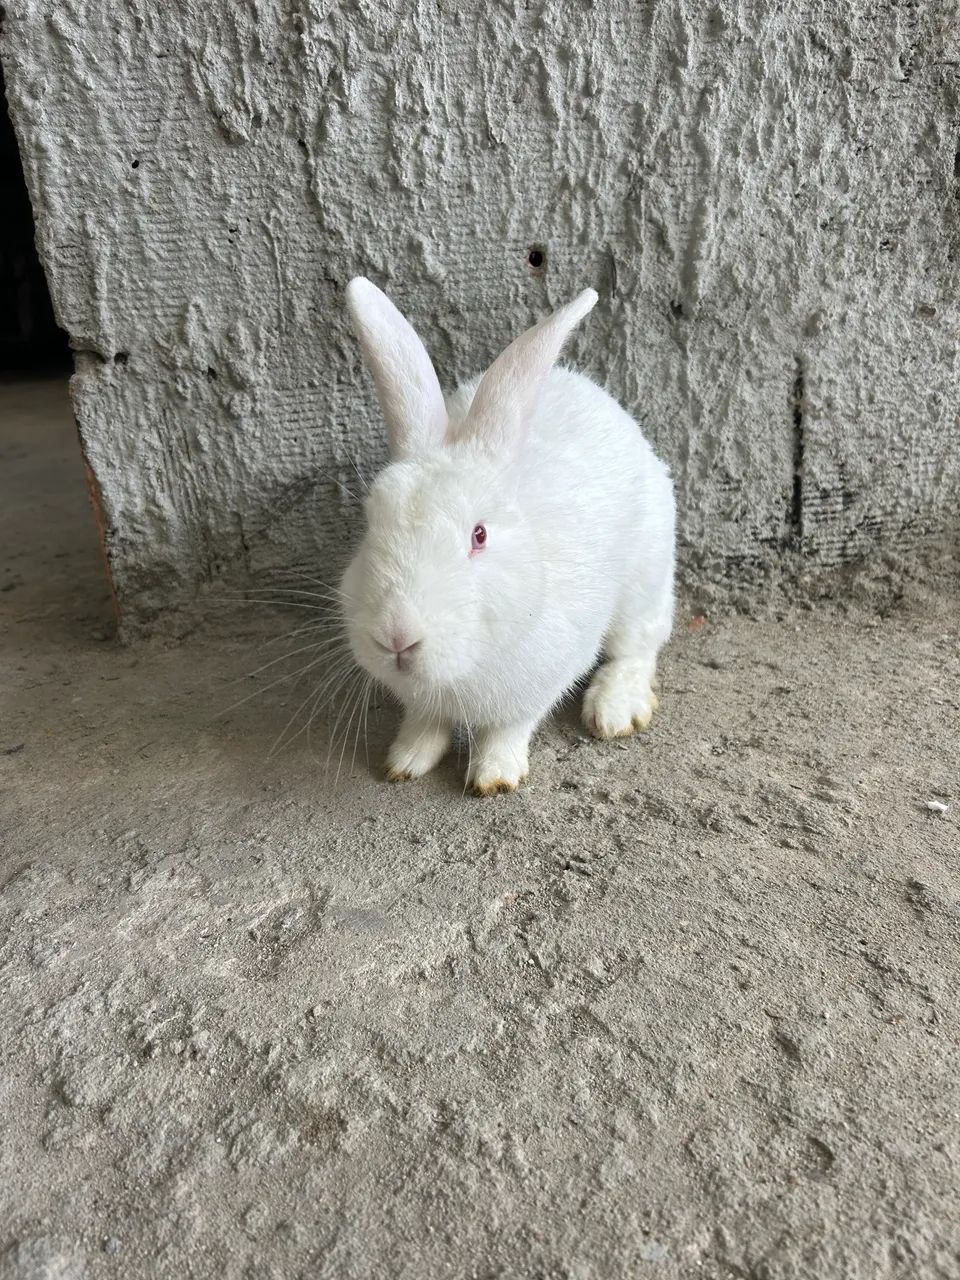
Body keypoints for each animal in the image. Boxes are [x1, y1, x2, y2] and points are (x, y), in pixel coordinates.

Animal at [339, 277, 676, 795]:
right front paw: (405, 761)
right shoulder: (423, 702)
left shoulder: (541, 680)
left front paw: (494, 777)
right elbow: (423, 723)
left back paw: (615, 711)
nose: (397, 637)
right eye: (372, 521)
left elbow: (509, 727)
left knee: (639, 647)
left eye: (479, 535)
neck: (461, 670)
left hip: (645, 582)